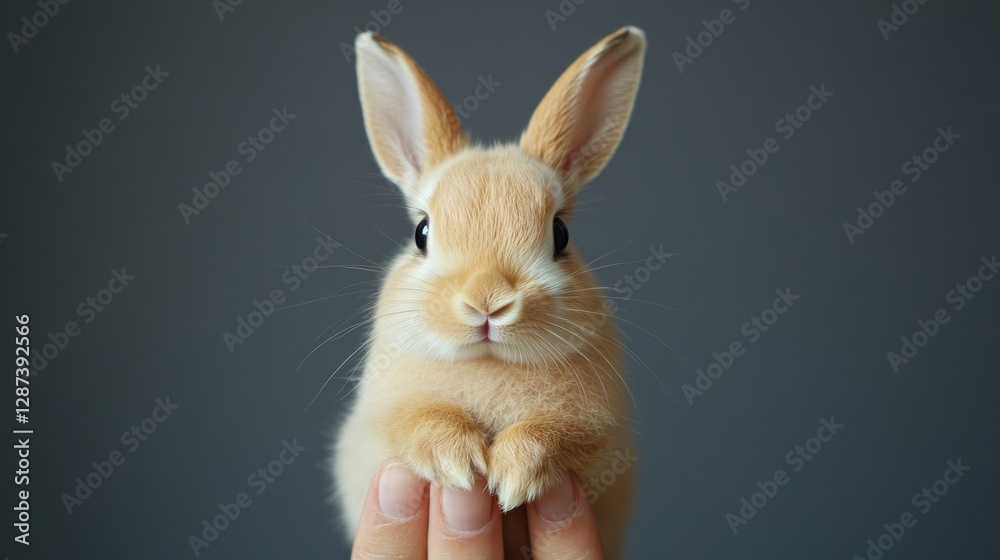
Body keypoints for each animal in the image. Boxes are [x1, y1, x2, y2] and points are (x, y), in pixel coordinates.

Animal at [331, 26, 646, 558]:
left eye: (560, 234)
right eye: (421, 233)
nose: (488, 302)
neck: (488, 361)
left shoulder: (601, 440)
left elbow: (558, 433)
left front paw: (515, 472)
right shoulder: (378, 424)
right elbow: (416, 417)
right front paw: (456, 460)